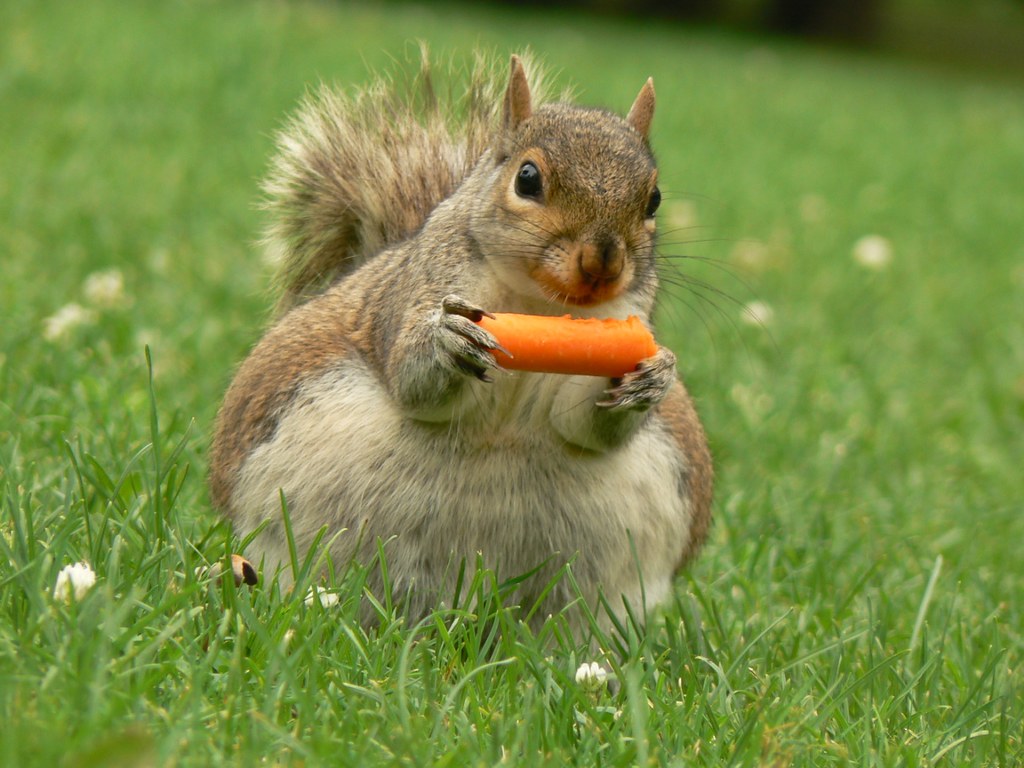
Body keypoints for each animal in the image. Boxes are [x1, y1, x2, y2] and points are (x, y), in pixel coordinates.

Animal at [209, 52, 713, 632]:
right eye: (527, 178)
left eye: (654, 198)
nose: (602, 261)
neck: (538, 301)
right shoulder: (413, 295)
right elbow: (413, 380)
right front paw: (445, 342)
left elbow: (584, 423)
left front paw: (647, 376)